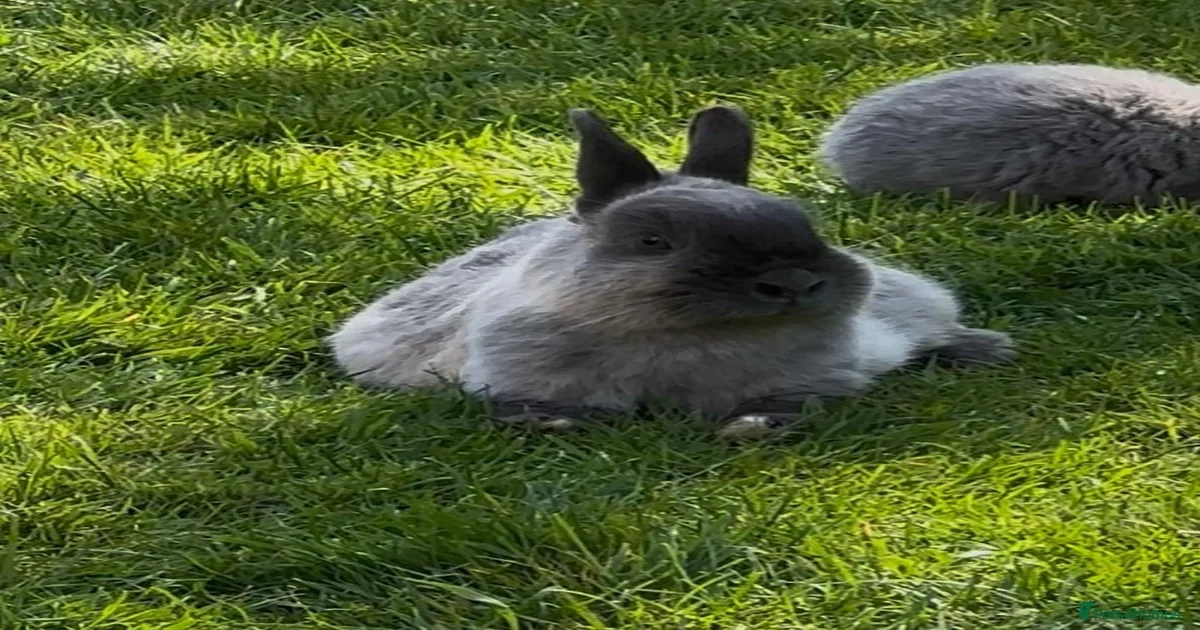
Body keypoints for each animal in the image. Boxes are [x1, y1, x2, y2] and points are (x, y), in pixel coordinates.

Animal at [330, 105, 1015, 439]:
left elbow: (790, 403)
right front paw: (551, 425)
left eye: (804, 222)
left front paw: (752, 429)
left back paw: (985, 349)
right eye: (652, 241)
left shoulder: (819, 379)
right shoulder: (515, 375)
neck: (685, 341)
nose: (793, 284)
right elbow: (534, 405)